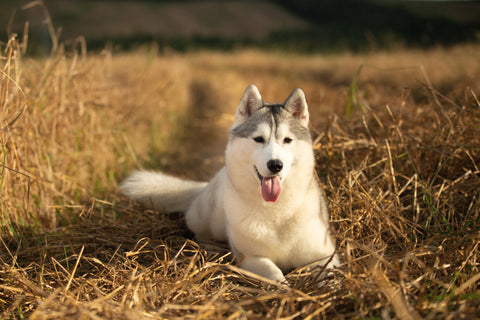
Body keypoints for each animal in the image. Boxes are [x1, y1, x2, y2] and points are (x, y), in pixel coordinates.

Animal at [122, 84, 340, 282]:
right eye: (258, 139)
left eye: (287, 140)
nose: (275, 165)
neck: (276, 211)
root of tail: (206, 184)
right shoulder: (250, 257)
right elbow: (274, 274)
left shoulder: (325, 256)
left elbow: (331, 277)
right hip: (209, 217)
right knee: (200, 232)